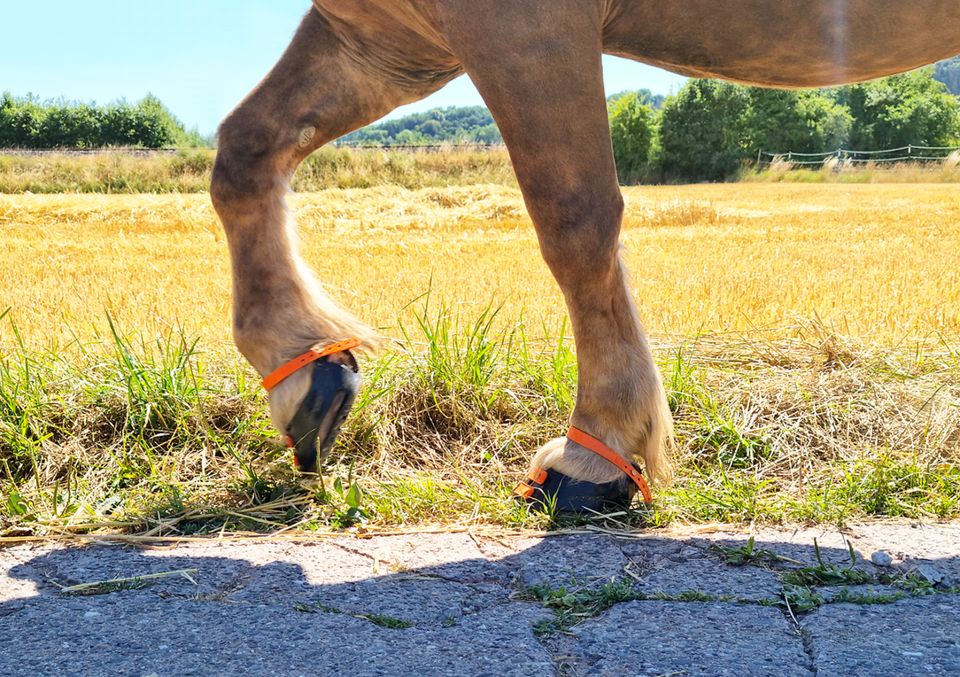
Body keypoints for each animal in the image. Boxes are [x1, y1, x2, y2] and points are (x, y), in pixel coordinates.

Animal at [210, 0, 960, 508]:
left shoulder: (522, 27)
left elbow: (573, 219)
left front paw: (599, 446)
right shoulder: (383, 40)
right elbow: (246, 150)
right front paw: (303, 364)